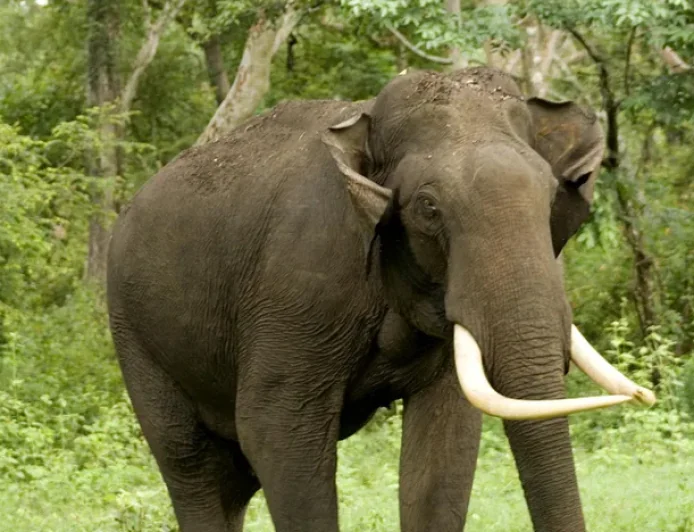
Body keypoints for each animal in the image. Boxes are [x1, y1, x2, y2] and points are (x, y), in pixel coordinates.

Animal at [106, 66, 655, 532]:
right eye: (428, 208)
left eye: (549, 196)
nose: (645, 396)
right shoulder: (296, 285)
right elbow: (276, 429)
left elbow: (444, 446)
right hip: (134, 334)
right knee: (190, 463)